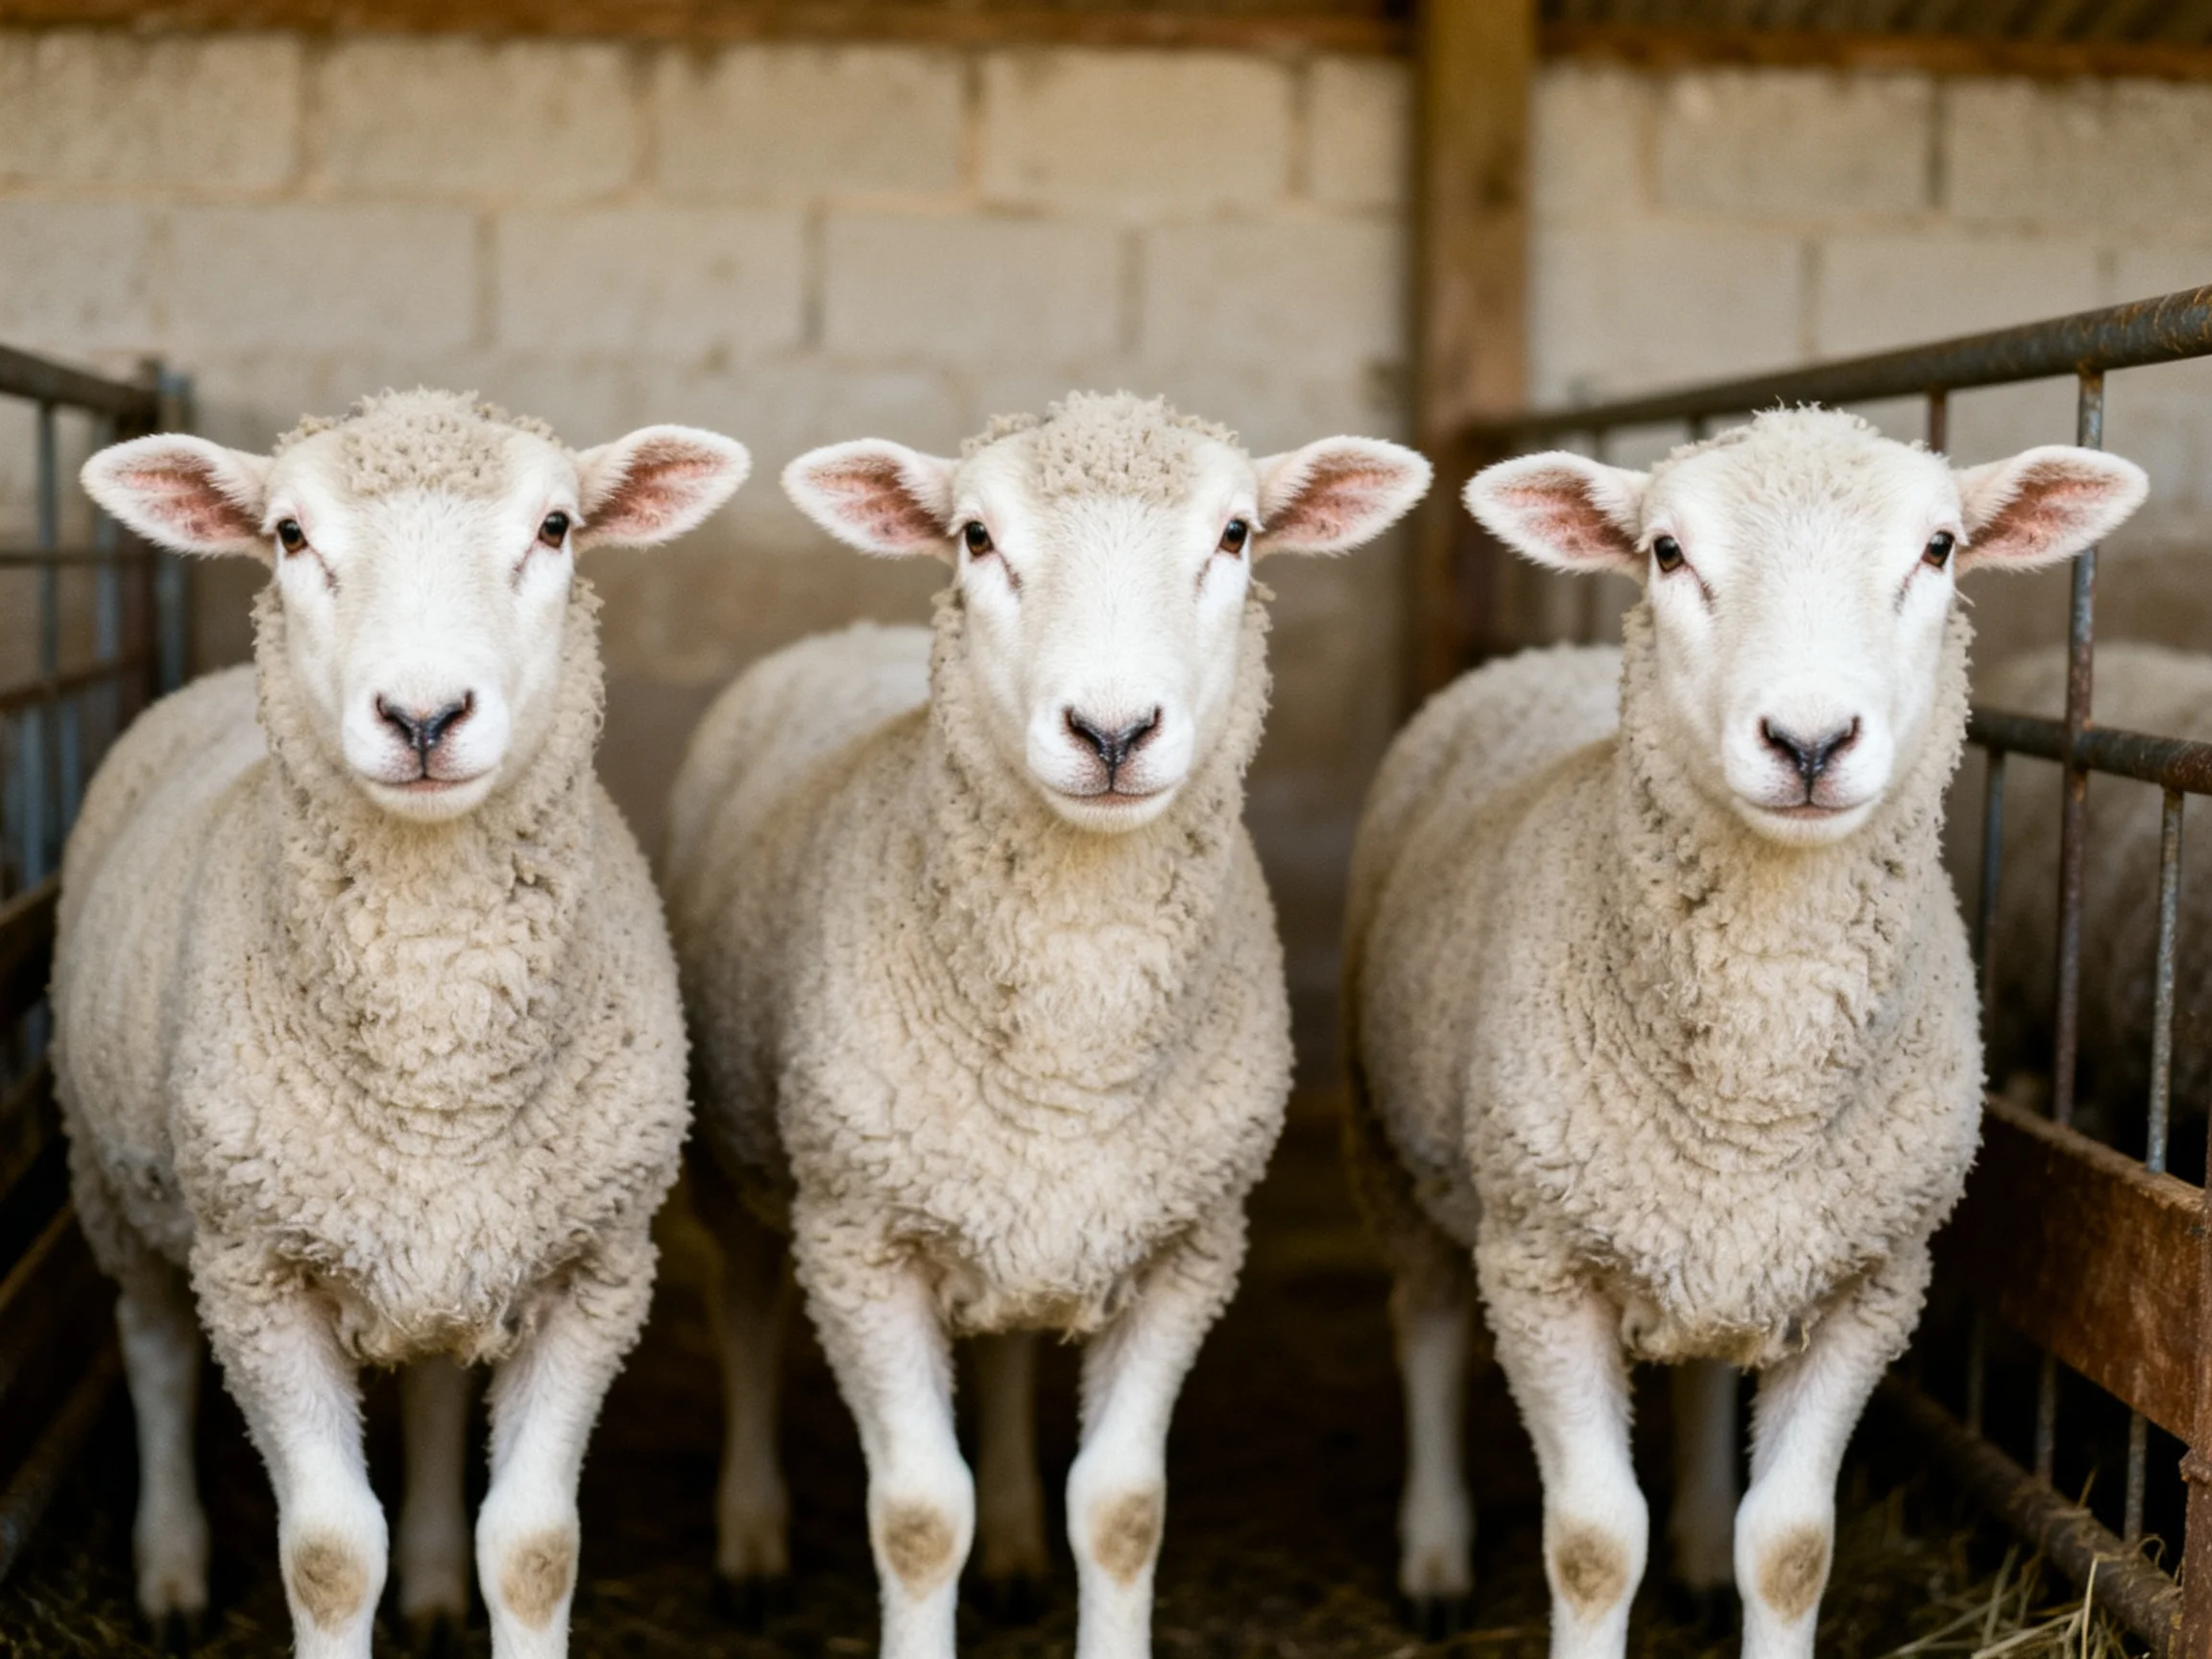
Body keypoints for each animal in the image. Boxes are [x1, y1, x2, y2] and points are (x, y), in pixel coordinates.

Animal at [57, 390, 749, 1659]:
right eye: (288, 535)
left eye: (557, 527)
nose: (424, 716)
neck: (436, 1055)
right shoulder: (257, 1273)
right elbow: (330, 1559)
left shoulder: (596, 1270)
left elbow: (533, 1551)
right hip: (117, 1183)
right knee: (155, 1353)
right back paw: (171, 1571)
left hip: (442, 1248)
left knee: (428, 1382)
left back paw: (429, 1583)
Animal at [661, 392, 1431, 1659]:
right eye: (975, 537)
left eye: (1236, 534)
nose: (1112, 731)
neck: (1077, 1034)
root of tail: (855, 634)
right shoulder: (859, 1240)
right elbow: (920, 1517)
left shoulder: (1187, 1246)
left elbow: (1120, 1512)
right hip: (741, 1158)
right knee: (746, 1315)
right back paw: (749, 1540)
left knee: (1013, 1346)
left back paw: (1018, 1545)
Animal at [1342, 408, 2146, 1659]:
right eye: (1667, 552)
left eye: (1940, 548)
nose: (1809, 741)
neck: (1756, 1083)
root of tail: (1549, 656)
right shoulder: (1539, 1265)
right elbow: (1591, 1544)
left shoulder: (1872, 1279)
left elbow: (1791, 1548)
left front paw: (1735, 1565)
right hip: (1395, 1144)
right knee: (1421, 1324)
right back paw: (1434, 1558)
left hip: (1726, 1245)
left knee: (1705, 1371)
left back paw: (1696, 1551)